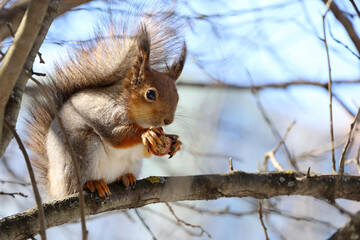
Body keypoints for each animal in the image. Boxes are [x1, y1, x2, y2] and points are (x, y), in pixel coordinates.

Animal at [26, 8, 187, 199]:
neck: (137, 116)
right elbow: (117, 135)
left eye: (177, 96)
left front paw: (174, 142)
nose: (168, 121)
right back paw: (93, 183)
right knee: (80, 181)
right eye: (150, 94)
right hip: (82, 152)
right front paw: (147, 134)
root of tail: (56, 190)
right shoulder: (106, 113)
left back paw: (125, 177)